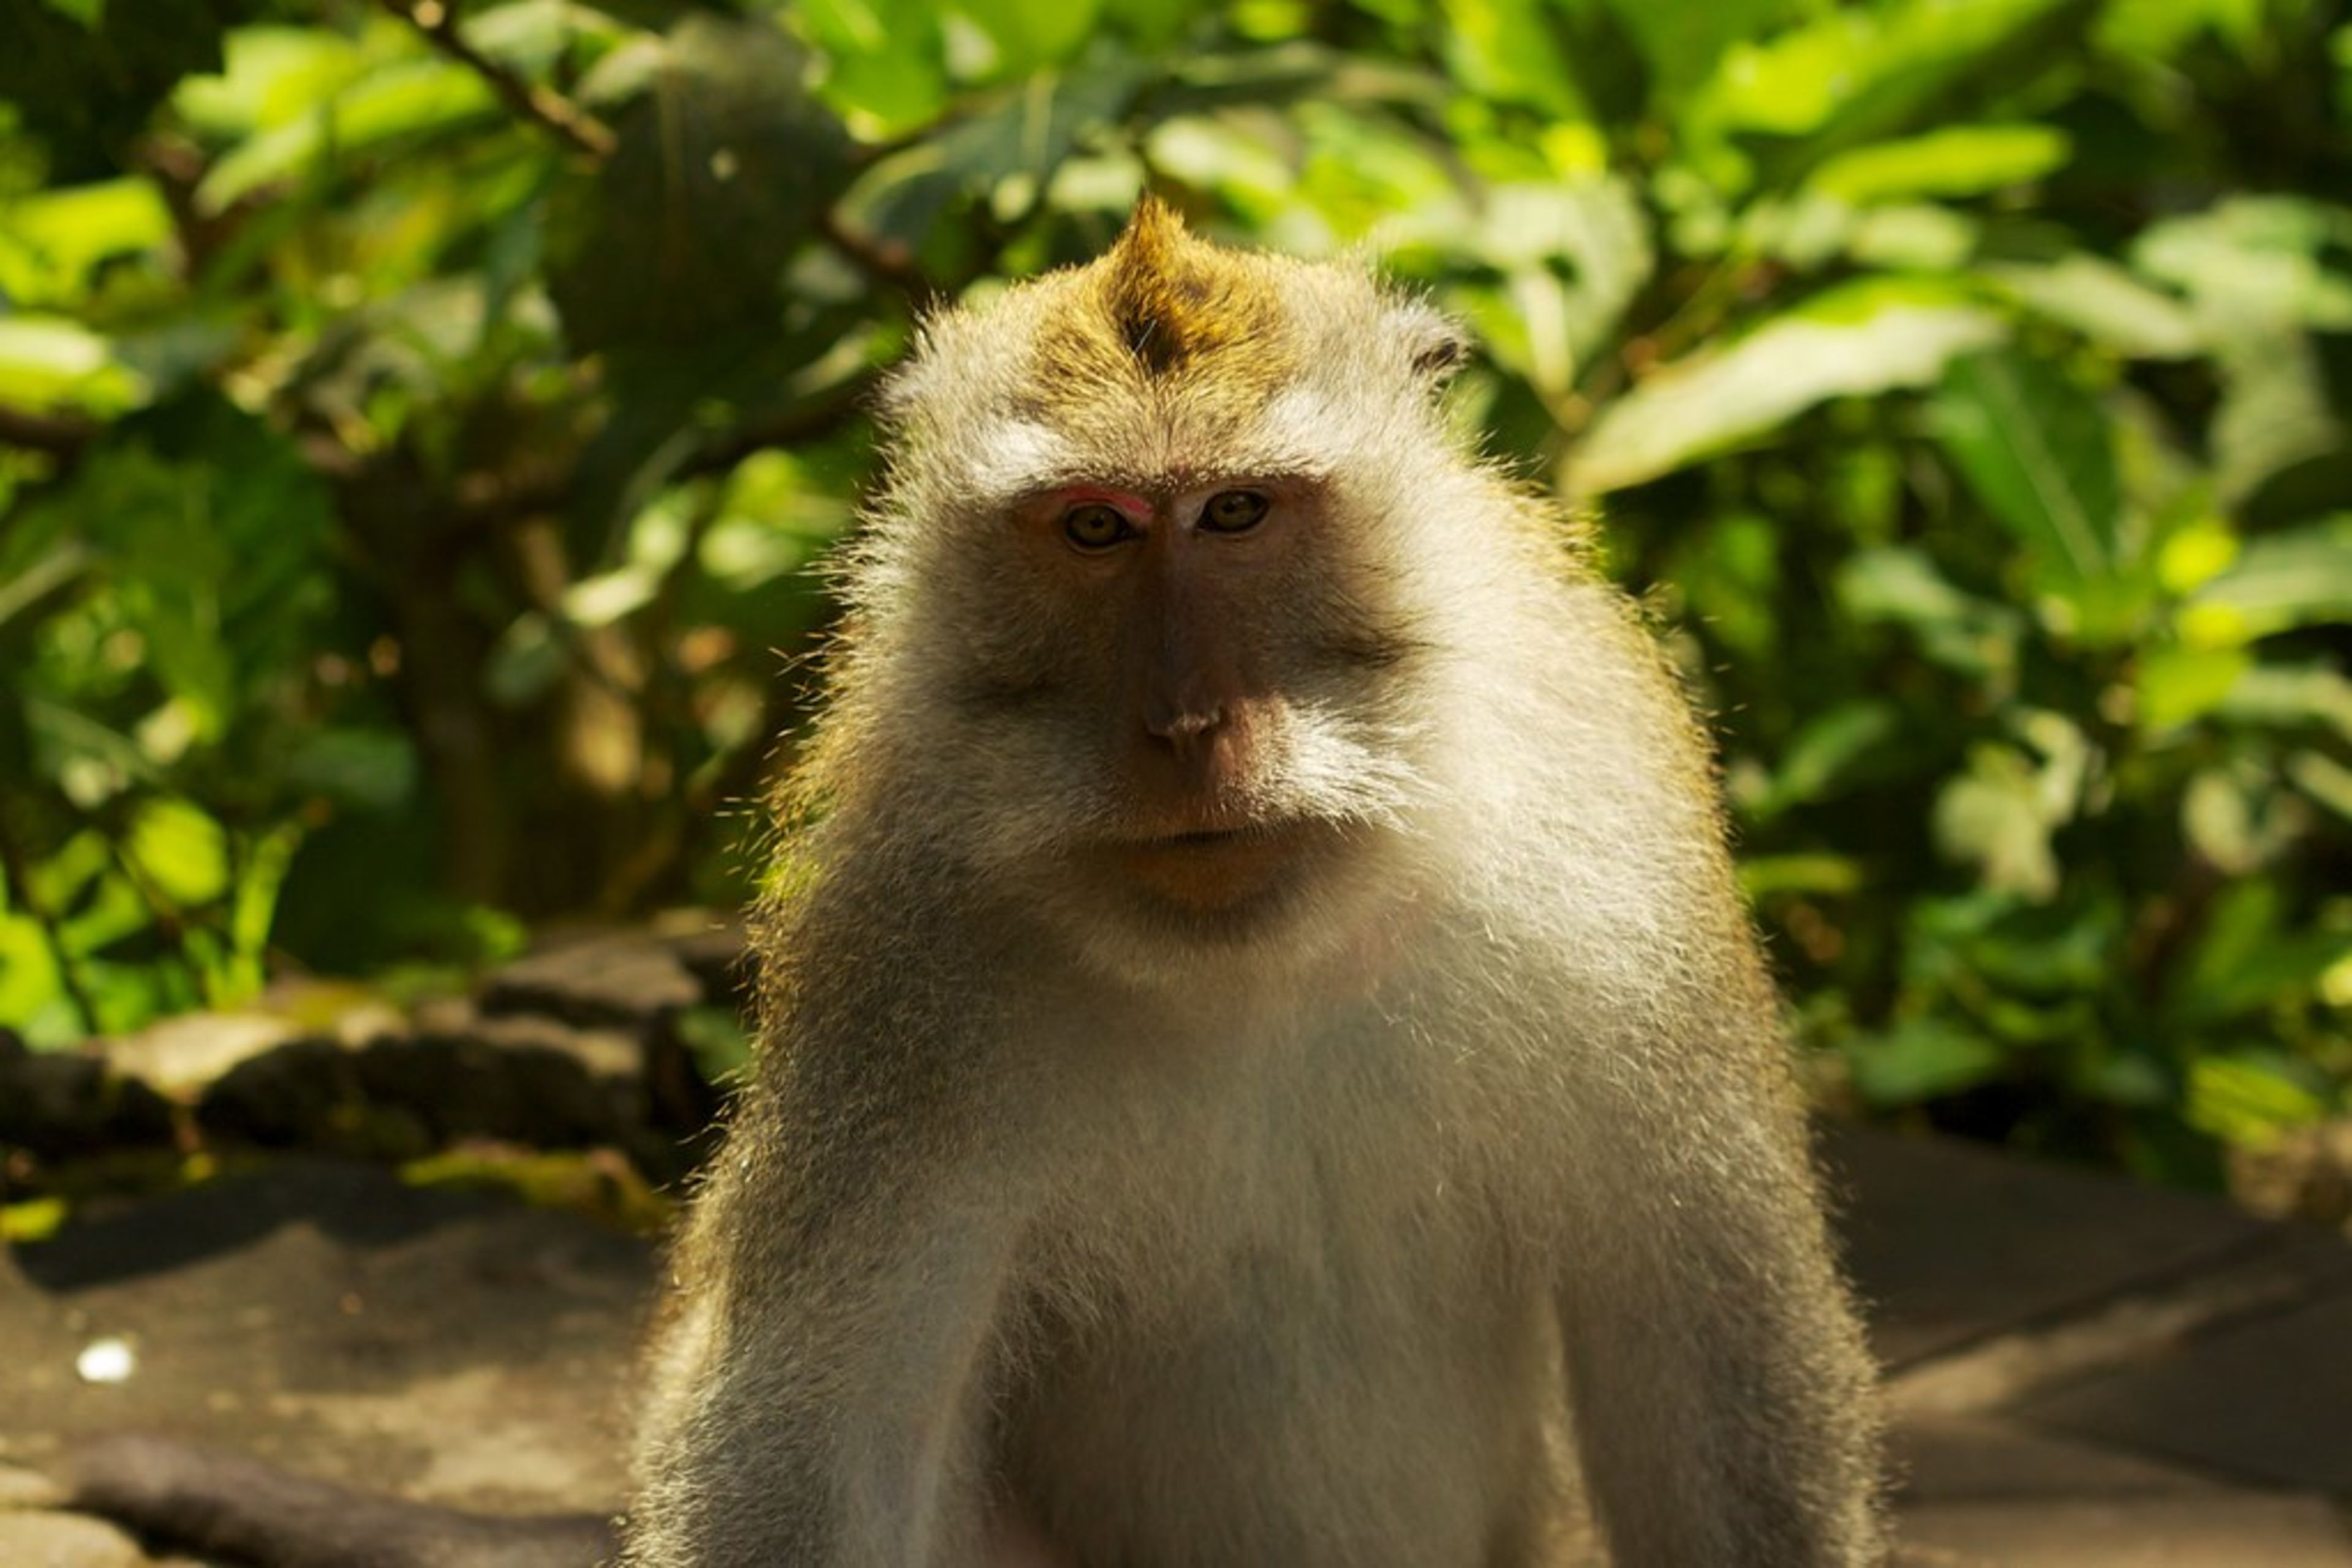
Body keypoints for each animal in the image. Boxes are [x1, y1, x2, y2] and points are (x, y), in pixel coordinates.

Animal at [620, 198, 1885, 1567]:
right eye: (1096, 525)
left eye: (1236, 511)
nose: (1186, 725)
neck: (1263, 963)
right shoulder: (894, 939)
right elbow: (824, 1428)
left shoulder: (1614, 849)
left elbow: (1706, 1346)